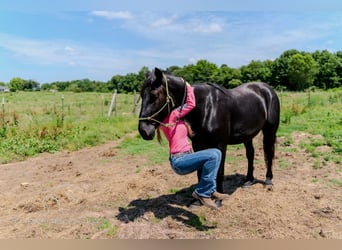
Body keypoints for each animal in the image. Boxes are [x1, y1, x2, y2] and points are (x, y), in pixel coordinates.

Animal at [138, 68, 280, 193]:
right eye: (141, 95)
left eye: (154, 96)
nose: (144, 131)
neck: (205, 107)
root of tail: (267, 89)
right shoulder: (198, 144)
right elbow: (200, 171)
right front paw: (197, 200)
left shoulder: (220, 145)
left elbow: (220, 171)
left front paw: (218, 197)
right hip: (247, 135)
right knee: (250, 154)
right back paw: (248, 180)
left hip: (269, 131)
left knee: (269, 151)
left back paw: (268, 180)